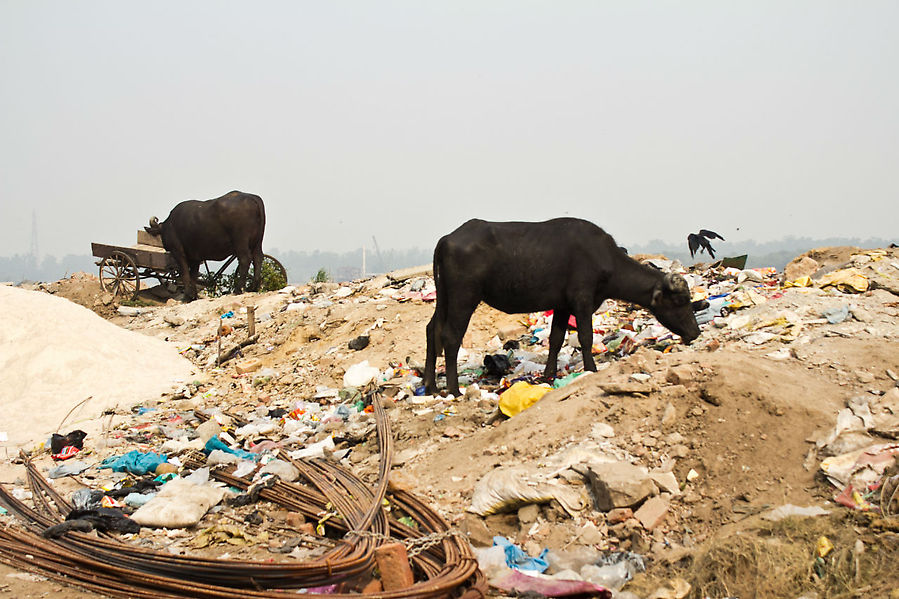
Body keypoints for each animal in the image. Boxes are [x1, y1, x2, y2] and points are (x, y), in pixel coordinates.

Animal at [88, 192, 284, 302]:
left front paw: (188, 295)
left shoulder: (180, 252)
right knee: (258, 258)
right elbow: (194, 274)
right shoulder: (196, 256)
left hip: (240, 242)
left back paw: (238, 289)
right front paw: (193, 295)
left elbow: (184, 273)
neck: (169, 224)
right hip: (257, 241)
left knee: (244, 260)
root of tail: (253, 199)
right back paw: (254, 286)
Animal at [426, 217, 708, 398]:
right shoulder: (581, 302)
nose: (695, 332)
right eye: (680, 301)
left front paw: (549, 375)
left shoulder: (561, 306)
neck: (604, 259)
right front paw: (591, 369)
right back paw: (453, 389)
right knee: (450, 337)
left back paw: (430, 386)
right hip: (464, 298)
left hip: (445, 299)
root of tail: (447, 239)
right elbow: (585, 336)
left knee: (431, 331)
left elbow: (555, 339)